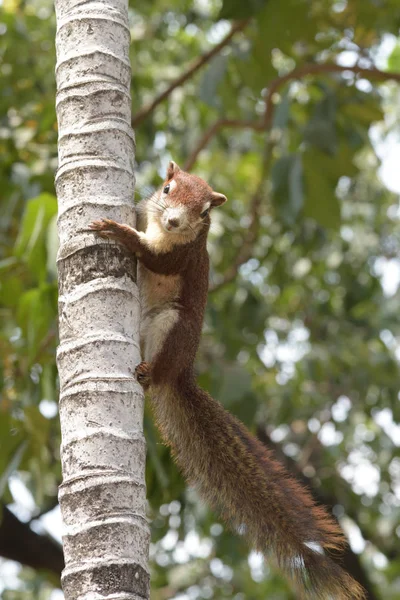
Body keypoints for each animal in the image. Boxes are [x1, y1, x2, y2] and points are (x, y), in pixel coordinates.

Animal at [90, 162, 366, 596]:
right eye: (167, 189)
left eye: (204, 212)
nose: (173, 221)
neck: (164, 230)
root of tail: (181, 373)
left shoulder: (184, 256)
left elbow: (157, 259)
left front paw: (120, 233)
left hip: (172, 327)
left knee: (159, 366)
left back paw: (149, 373)